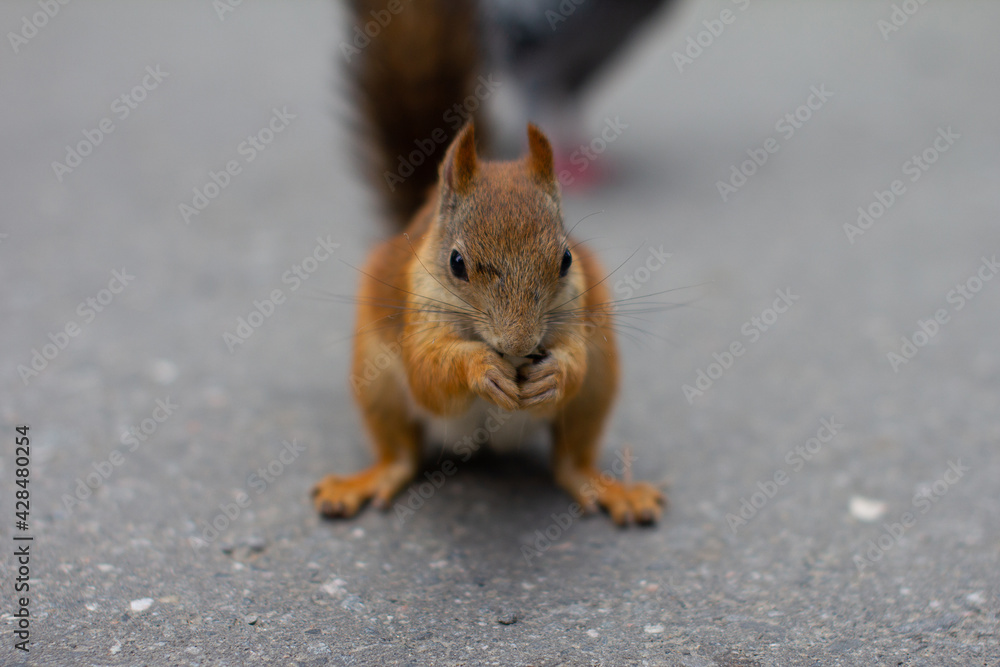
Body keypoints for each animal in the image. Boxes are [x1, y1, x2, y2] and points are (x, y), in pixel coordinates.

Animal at [312, 0, 664, 525]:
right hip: (376, 384)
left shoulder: (577, 313)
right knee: (400, 454)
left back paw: (608, 487)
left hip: (600, 386)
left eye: (566, 258)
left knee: (571, 459)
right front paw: (480, 367)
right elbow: (427, 372)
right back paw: (365, 480)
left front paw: (556, 371)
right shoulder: (419, 316)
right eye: (456, 262)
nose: (519, 344)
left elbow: (574, 361)